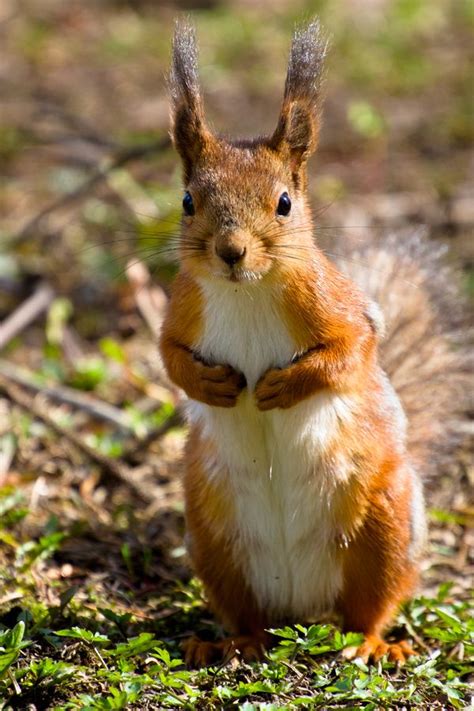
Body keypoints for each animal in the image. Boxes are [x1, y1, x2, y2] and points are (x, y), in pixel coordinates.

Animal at [158, 20, 466, 668]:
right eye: (188, 201)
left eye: (284, 203)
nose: (231, 252)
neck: (248, 292)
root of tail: (301, 604)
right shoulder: (181, 310)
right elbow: (170, 357)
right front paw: (212, 384)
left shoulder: (340, 306)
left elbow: (352, 350)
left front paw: (283, 386)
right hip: (213, 538)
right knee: (246, 613)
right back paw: (228, 641)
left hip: (383, 527)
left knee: (371, 607)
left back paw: (373, 645)